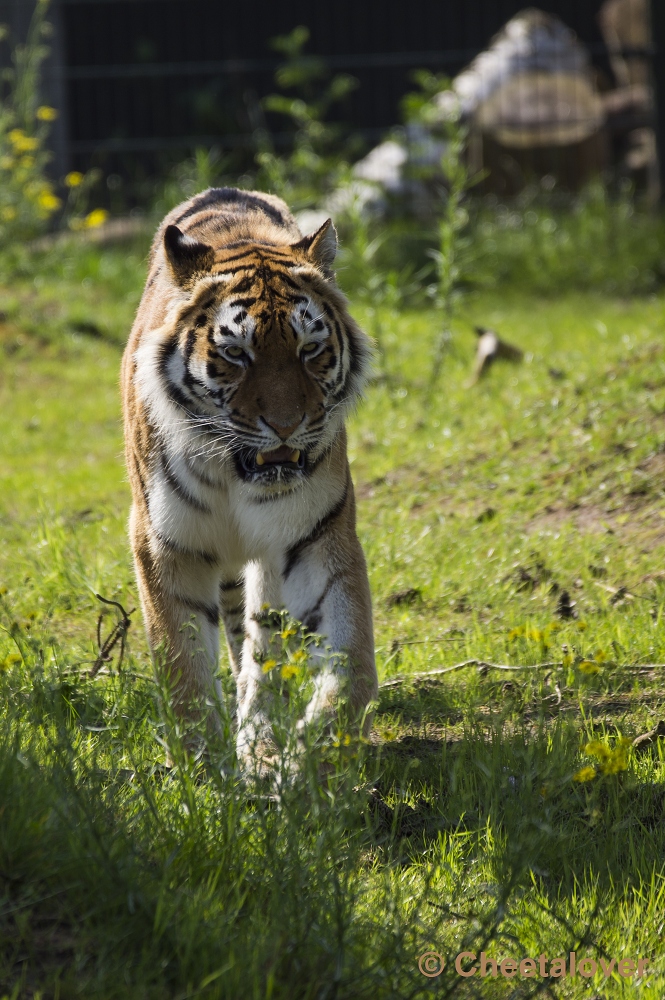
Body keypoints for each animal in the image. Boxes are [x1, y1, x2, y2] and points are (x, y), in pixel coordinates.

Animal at [121, 191, 376, 776]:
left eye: (311, 349)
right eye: (236, 353)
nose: (285, 425)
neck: (235, 472)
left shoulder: (316, 536)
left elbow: (350, 665)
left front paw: (308, 758)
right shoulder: (164, 543)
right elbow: (182, 664)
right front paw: (200, 769)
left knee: (259, 649)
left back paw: (261, 746)